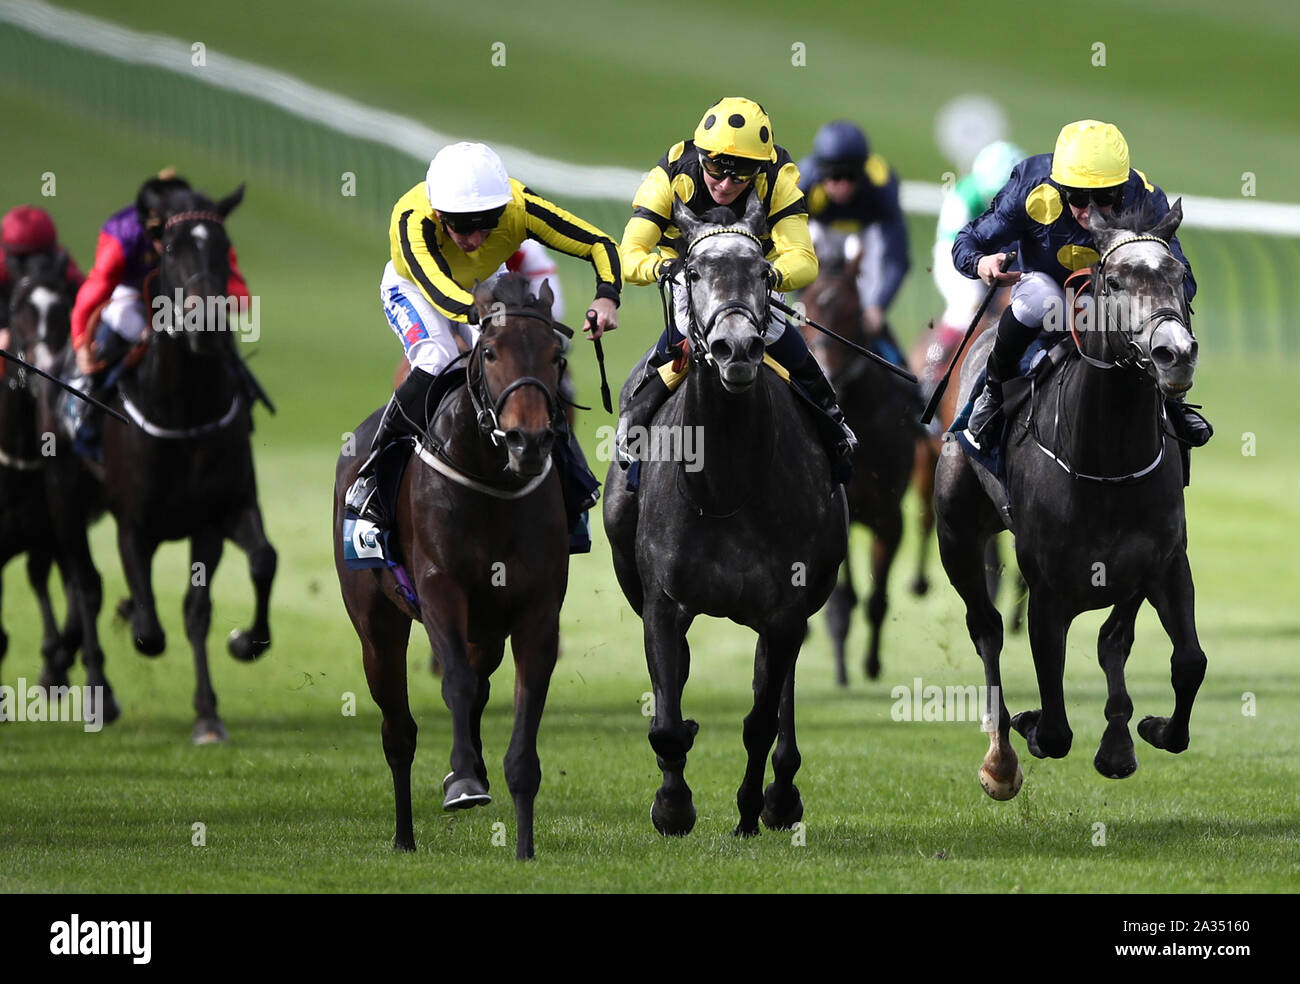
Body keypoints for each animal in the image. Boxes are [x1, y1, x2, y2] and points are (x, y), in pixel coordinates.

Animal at [335, 272, 574, 857]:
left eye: (556, 355)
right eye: (489, 352)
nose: (529, 440)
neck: (491, 479)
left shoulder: (538, 609)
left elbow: (524, 704)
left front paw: (524, 845)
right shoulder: (441, 590)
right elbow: (457, 685)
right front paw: (464, 781)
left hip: (485, 629)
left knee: (480, 682)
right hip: (377, 627)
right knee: (398, 730)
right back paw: (404, 835)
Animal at [603, 197, 847, 837]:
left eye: (764, 273)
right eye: (691, 272)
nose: (736, 349)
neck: (723, 483)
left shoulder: (785, 610)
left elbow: (761, 719)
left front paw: (748, 812)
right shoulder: (662, 602)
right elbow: (666, 718)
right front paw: (672, 806)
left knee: (779, 691)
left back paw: (781, 796)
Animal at [800, 228, 915, 681]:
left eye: (852, 312)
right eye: (809, 306)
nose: (827, 375)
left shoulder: (890, 516)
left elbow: (877, 599)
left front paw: (871, 663)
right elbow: (840, 599)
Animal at [935, 200, 1206, 800]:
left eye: (1179, 275)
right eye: (1115, 279)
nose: (1173, 354)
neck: (1108, 465)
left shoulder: (1164, 563)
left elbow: (1186, 661)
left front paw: (1145, 731)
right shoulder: (1048, 591)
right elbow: (1055, 723)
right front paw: (1031, 725)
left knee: (1113, 638)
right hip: (956, 533)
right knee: (986, 628)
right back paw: (1000, 757)